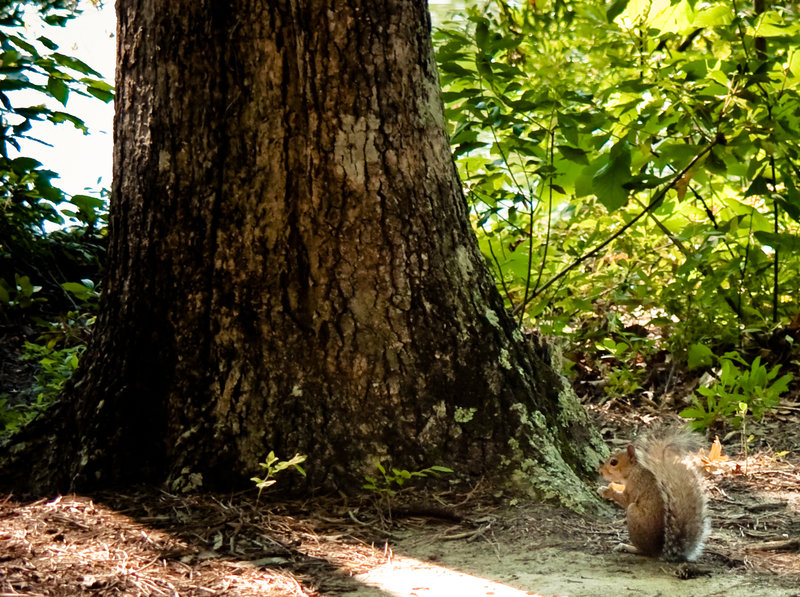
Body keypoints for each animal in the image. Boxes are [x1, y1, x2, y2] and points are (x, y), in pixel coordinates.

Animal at [596, 426, 708, 560]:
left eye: (613, 462)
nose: (600, 471)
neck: (634, 469)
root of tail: (660, 551)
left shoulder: (637, 484)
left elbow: (626, 499)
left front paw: (605, 490)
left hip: (634, 514)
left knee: (644, 551)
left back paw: (627, 547)